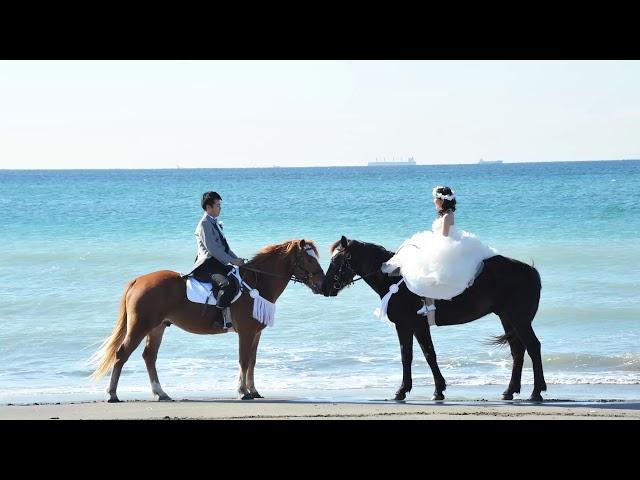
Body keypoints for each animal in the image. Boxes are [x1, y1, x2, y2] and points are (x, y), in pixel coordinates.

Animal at [90, 239, 324, 402]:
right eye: (309, 259)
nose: (323, 283)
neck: (257, 282)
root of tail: (137, 280)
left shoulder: (256, 333)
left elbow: (252, 361)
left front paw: (253, 390)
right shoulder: (246, 332)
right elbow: (244, 360)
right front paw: (242, 392)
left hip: (157, 327)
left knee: (149, 357)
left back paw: (161, 394)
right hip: (140, 326)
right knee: (122, 354)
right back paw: (112, 394)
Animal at [322, 236, 548, 402]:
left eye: (336, 261)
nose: (324, 288)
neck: (396, 280)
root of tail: (530, 270)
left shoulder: (407, 326)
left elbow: (412, 356)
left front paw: (405, 391)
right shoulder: (417, 327)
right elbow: (426, 355)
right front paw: (437, 390)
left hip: (519, 320)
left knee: (533, 347)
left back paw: (536, 392)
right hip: (507, 318)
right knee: (518, 351)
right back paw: (509, 391)